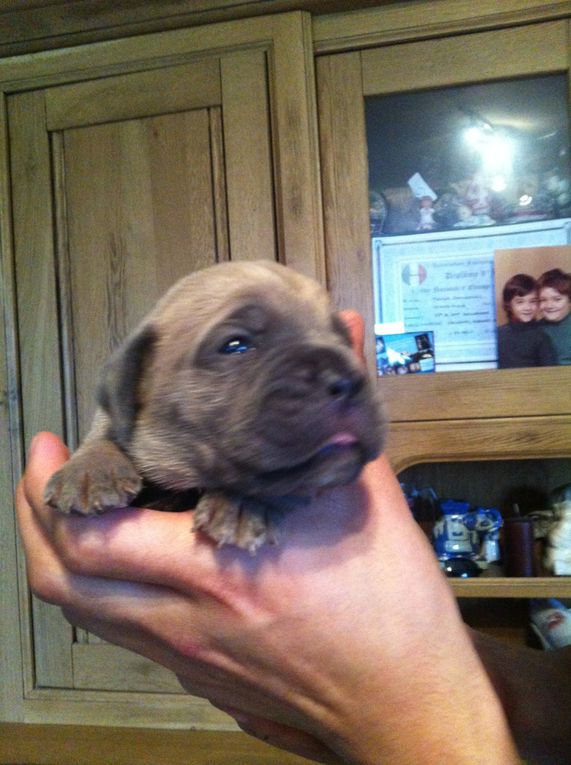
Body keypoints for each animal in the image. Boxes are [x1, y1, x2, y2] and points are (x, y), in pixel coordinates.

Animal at [43, 260, 384, 552]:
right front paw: (89, 470)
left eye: (343, 339)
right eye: (236, 345)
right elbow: (101, 433)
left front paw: (242, 506)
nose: (346, 381)